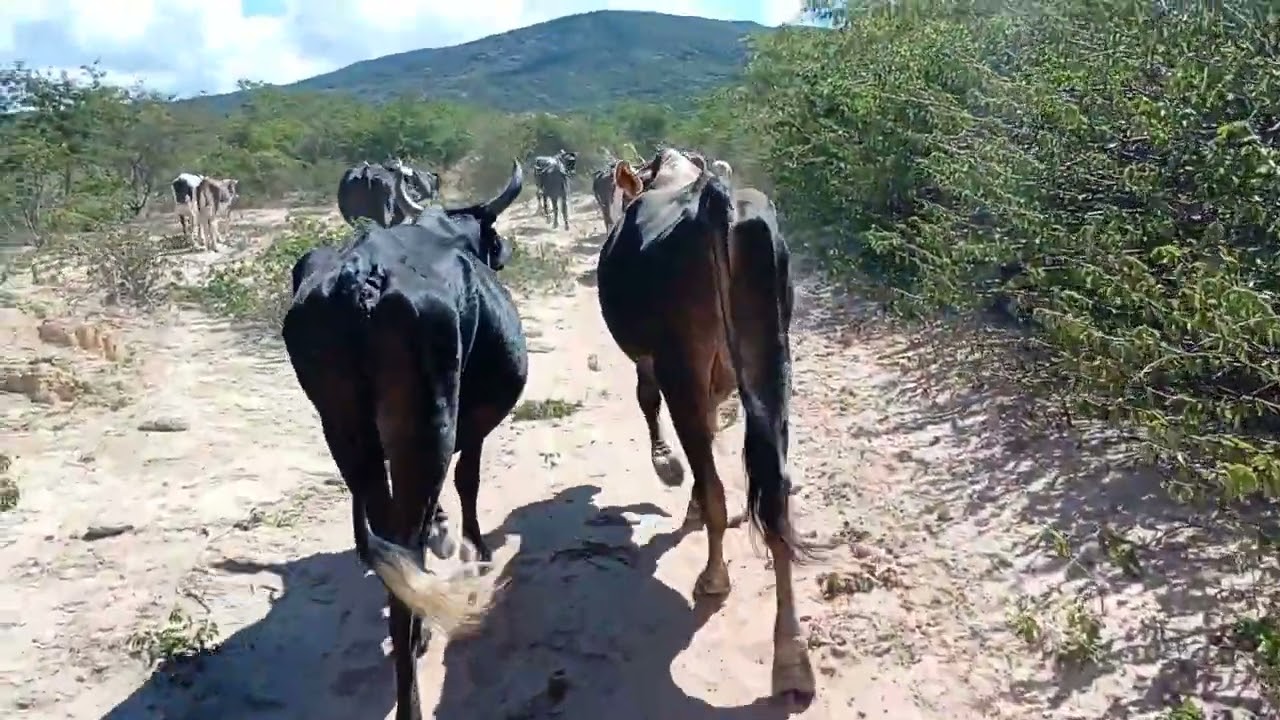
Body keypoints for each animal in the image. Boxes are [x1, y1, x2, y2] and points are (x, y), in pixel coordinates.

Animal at [282, 160, 526, 720]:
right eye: (491, 234)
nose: (502, 251)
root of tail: (361, 279)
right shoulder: (473, 422)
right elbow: (468, 479)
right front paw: (474, 546)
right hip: (429, 422)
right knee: (408, 546)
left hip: (346, 431)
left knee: (391, 541)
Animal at [594, 149, 814, 708]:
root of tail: (717, 203)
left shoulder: (654, 361)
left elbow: (652, 406)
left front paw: (669, 469)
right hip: (771, 360)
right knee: (775, 496)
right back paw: (792, 661)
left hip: (682, 365)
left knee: (716, 483)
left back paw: (714, 577)